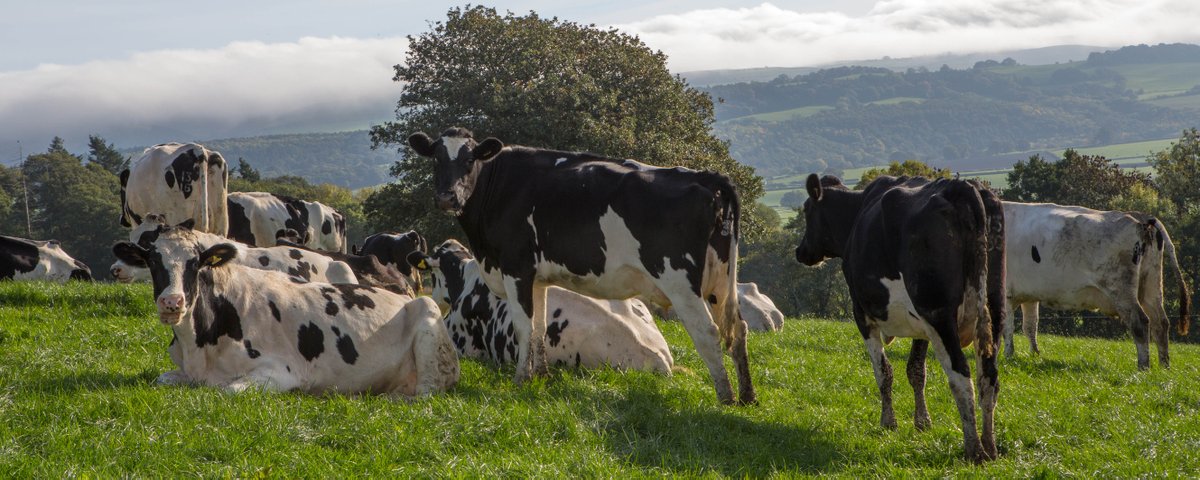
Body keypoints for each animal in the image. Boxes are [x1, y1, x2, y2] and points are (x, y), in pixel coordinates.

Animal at [111, 225, 459, 396]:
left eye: (196, 263)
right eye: (153, 261)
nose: (172, 302)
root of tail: (403, 294)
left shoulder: (280, 372)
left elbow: (227, 390)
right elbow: (161, 379)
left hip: (429, 320)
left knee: (427, 391)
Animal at [795, 174, 1005, 462]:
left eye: (807, 210)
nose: (800, 251)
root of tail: (961, 187)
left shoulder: (862, 314)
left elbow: (884, 371)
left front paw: (888, 422)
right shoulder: (920, 324)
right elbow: (916, 370)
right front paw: (922, 422)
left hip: (937, 313)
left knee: (961, 376)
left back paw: (974, 450)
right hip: (993, 309)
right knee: (989, 378)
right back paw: (990, 446)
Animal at [1001, 202, 1191, 368]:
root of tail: (1141, 219)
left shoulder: (1005, 293)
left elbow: (1007, 327)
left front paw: (1008, 356)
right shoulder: (1028, 294)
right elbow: (1030, 326)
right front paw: (1034, 355)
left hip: (1121, 289)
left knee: (1140, 322)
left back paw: (1143, 367)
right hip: (1151, 284)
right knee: (1161, 322)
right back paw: (1164, 367)